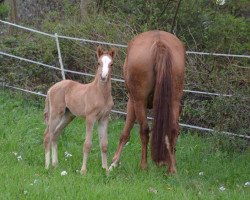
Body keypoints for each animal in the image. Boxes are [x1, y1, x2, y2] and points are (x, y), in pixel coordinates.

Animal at [110, 30, 185, 173]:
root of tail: (159, 43)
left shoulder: (132, 101)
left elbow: (125, 133)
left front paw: (114, 161)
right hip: (174, 100)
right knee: (173, 129)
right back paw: (171, 169)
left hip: (139, 101)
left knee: (144, 130)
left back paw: (143, 166)